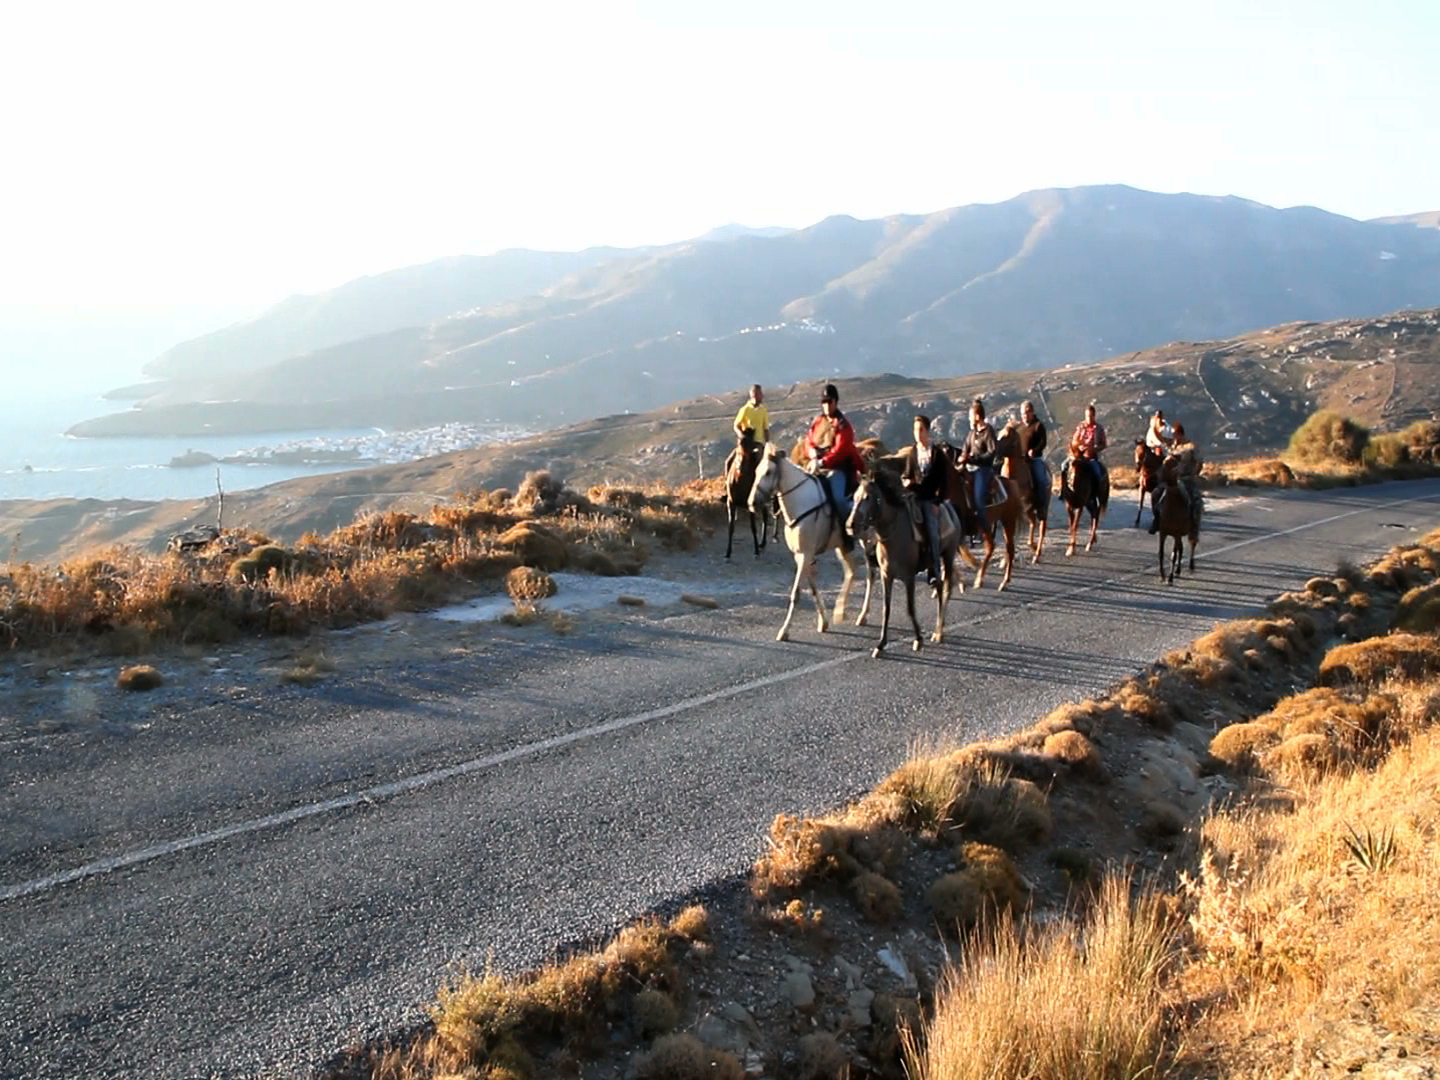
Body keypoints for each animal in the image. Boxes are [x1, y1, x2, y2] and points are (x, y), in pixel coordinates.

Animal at [748, 446, 869, 642]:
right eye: (757, 471)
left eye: (768, 472)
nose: (751, 503)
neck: (801, 503)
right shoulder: (801, 556)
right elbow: (812, 588)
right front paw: (823, 622)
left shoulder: (805, 554)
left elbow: (796, 593)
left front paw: (784, 631)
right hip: (842, 547)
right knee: (852, 571)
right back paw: (840, 612)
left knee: (872, 576)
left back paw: (862, 615)